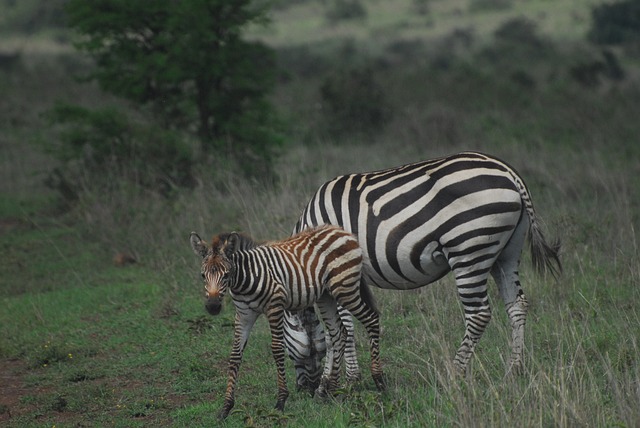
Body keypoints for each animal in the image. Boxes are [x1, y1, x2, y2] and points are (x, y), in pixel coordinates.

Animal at [188, 226, 382, 420]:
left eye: (226, 275)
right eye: (203, 275)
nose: (213, 307)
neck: (246, 278)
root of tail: (340, 230)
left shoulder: (275, 306)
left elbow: (277, 349)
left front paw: (281, 401)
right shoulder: (244, 314)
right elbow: (235, 354)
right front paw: (226, 407)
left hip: (345, 288)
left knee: (371, 319)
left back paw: (379, 381)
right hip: (326, 296)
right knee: (339, 333)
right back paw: (332, 391)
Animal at [284, 150, 560, 392]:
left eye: (285, 348)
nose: (303, 389)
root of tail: (509, 173)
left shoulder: (338, 271)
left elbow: (342, 328)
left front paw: (347, 379)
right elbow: (340, 328)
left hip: (469, 248)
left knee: (479, 315)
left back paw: (454, 374)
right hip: (506, 253)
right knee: (517, 305)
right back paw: (514, 371)